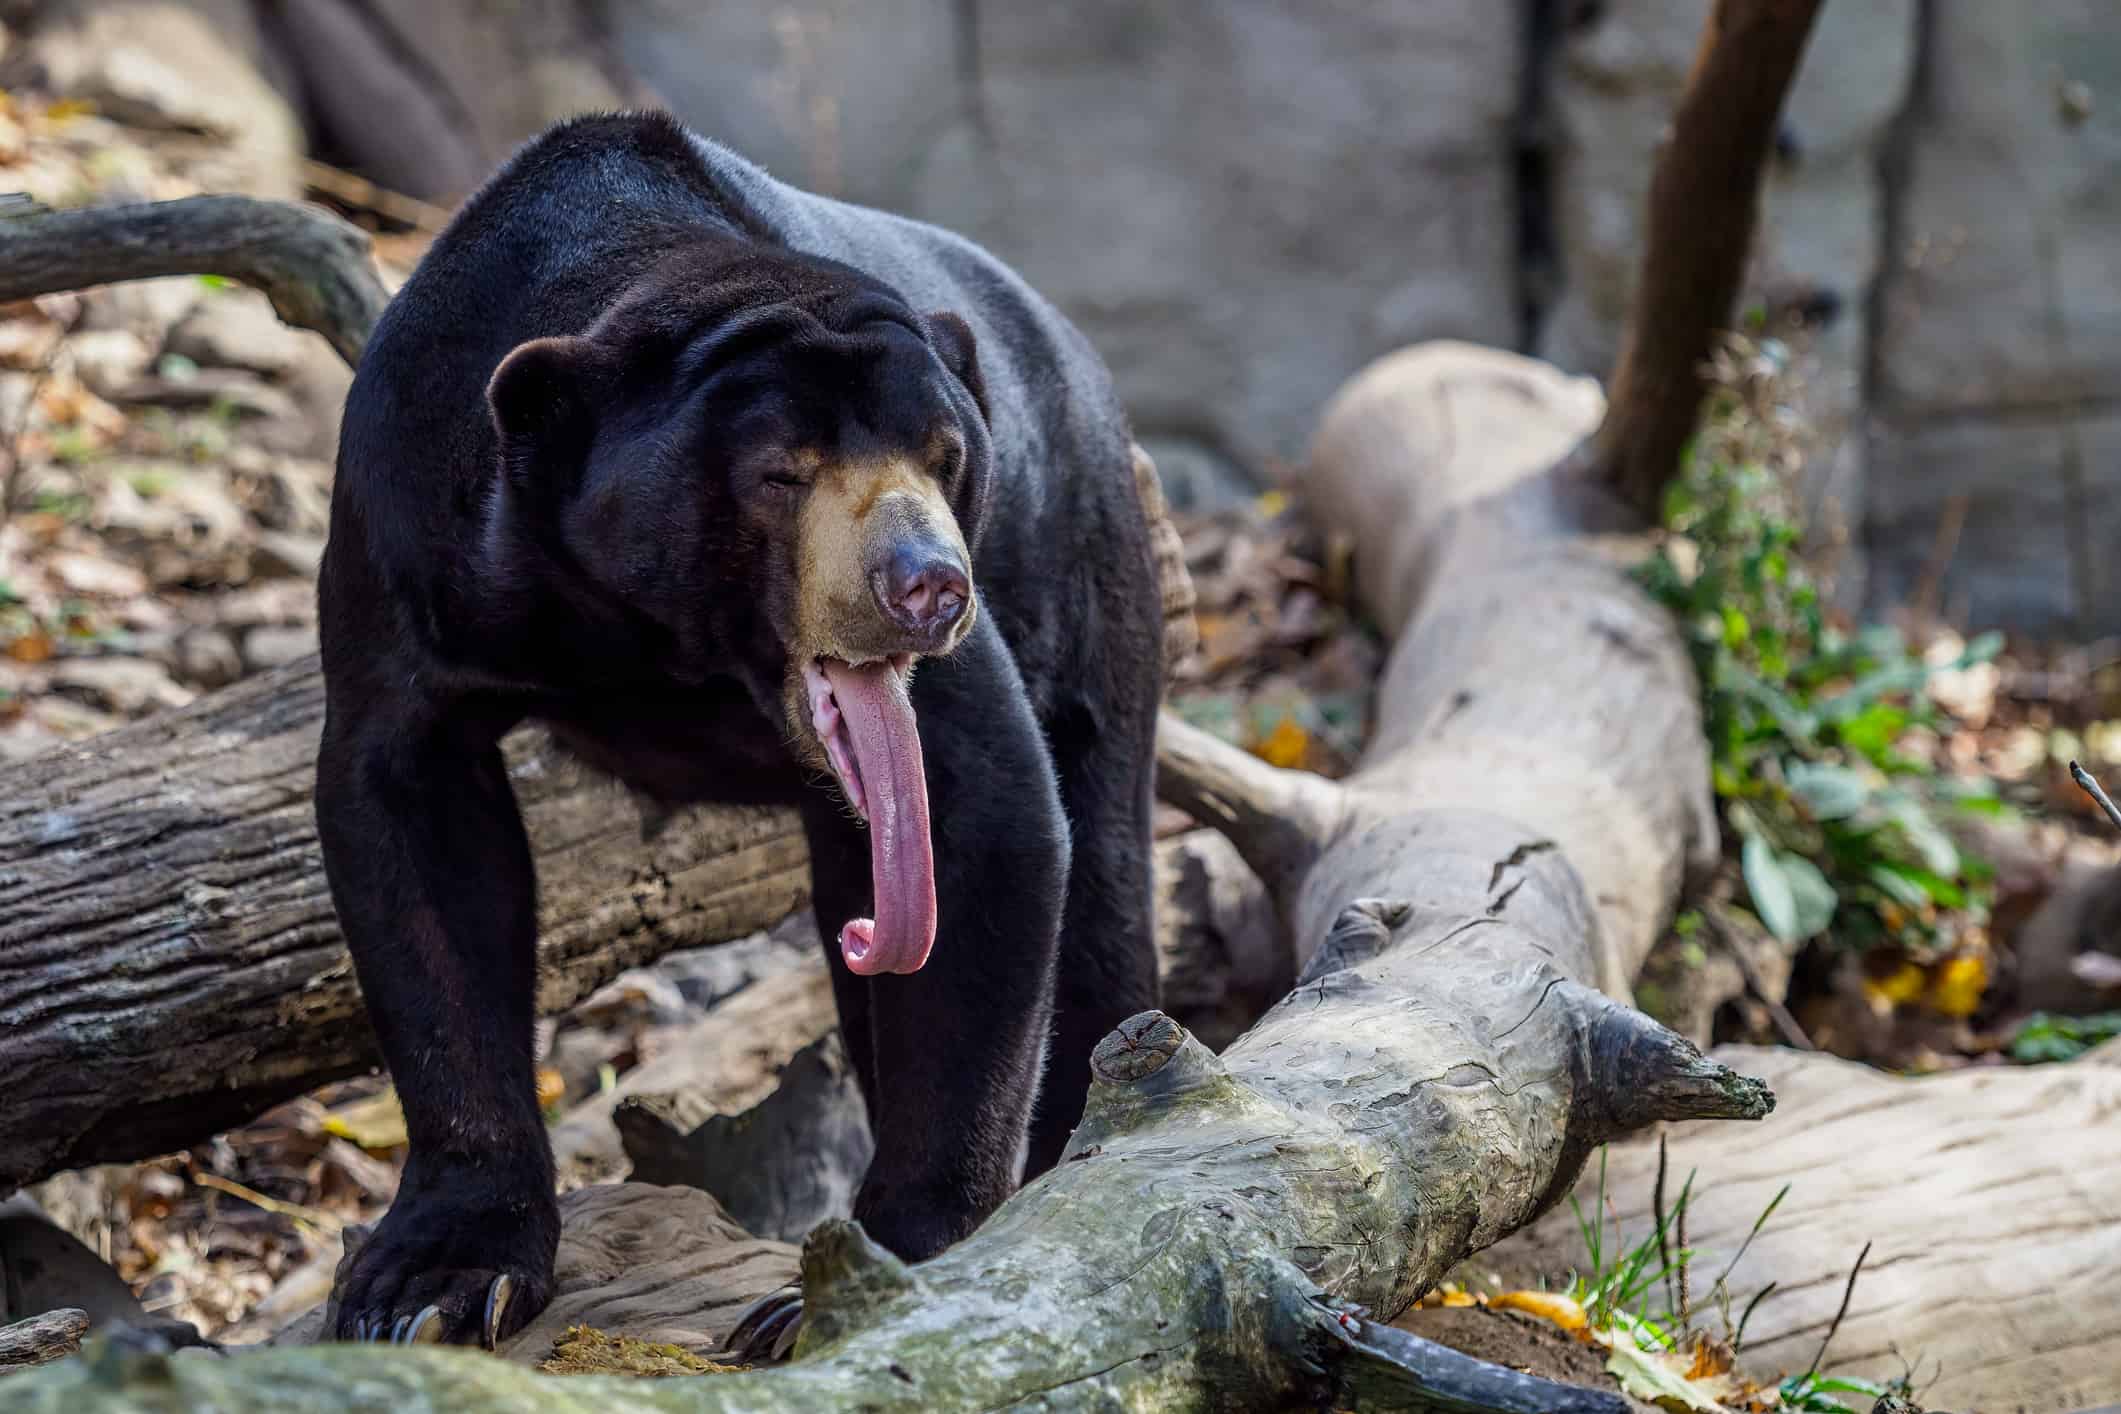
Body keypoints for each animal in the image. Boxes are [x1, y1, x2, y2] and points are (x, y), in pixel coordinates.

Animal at [313, 111, 1163, 1349]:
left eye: (946, 457)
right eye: (779, 473)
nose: (929, 587)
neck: (666, 635)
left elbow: (985, 813)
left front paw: (856, 1281)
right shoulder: (408, 530)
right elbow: (413, 831)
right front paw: (428, 1283)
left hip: (1086, 571)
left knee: (1099, 884)